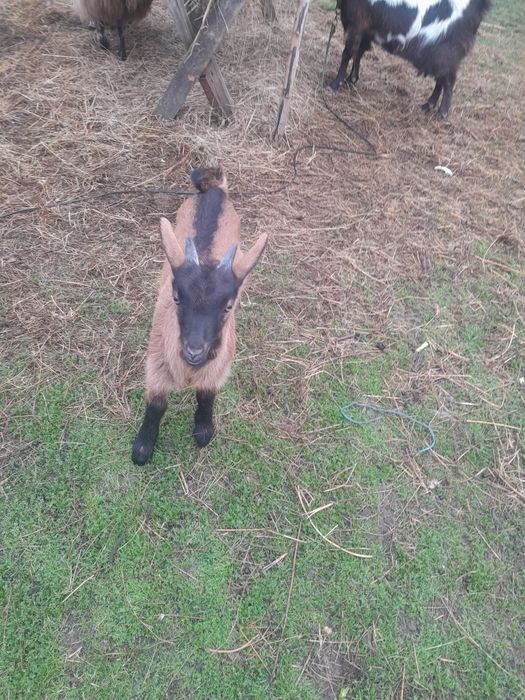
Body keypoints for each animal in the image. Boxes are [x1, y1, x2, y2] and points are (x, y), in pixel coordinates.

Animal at [132, 167, 267, 466]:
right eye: (176, 297)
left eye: (228, 306)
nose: (194, 351)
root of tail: (215, 189)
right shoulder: (155, 361)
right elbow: (156, 405)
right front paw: (142, 448)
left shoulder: (220, 367)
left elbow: (207, 396)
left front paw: (203, 432)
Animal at [330, 0, 491, 117]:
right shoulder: (366, 31)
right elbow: (357, 54)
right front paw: (351, 80)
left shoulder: (357, 25)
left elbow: (347, 54)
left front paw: (334, 84)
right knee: (441, 80)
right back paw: (427, 105)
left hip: (447, 52)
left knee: (448, 81)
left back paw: (441, 113)